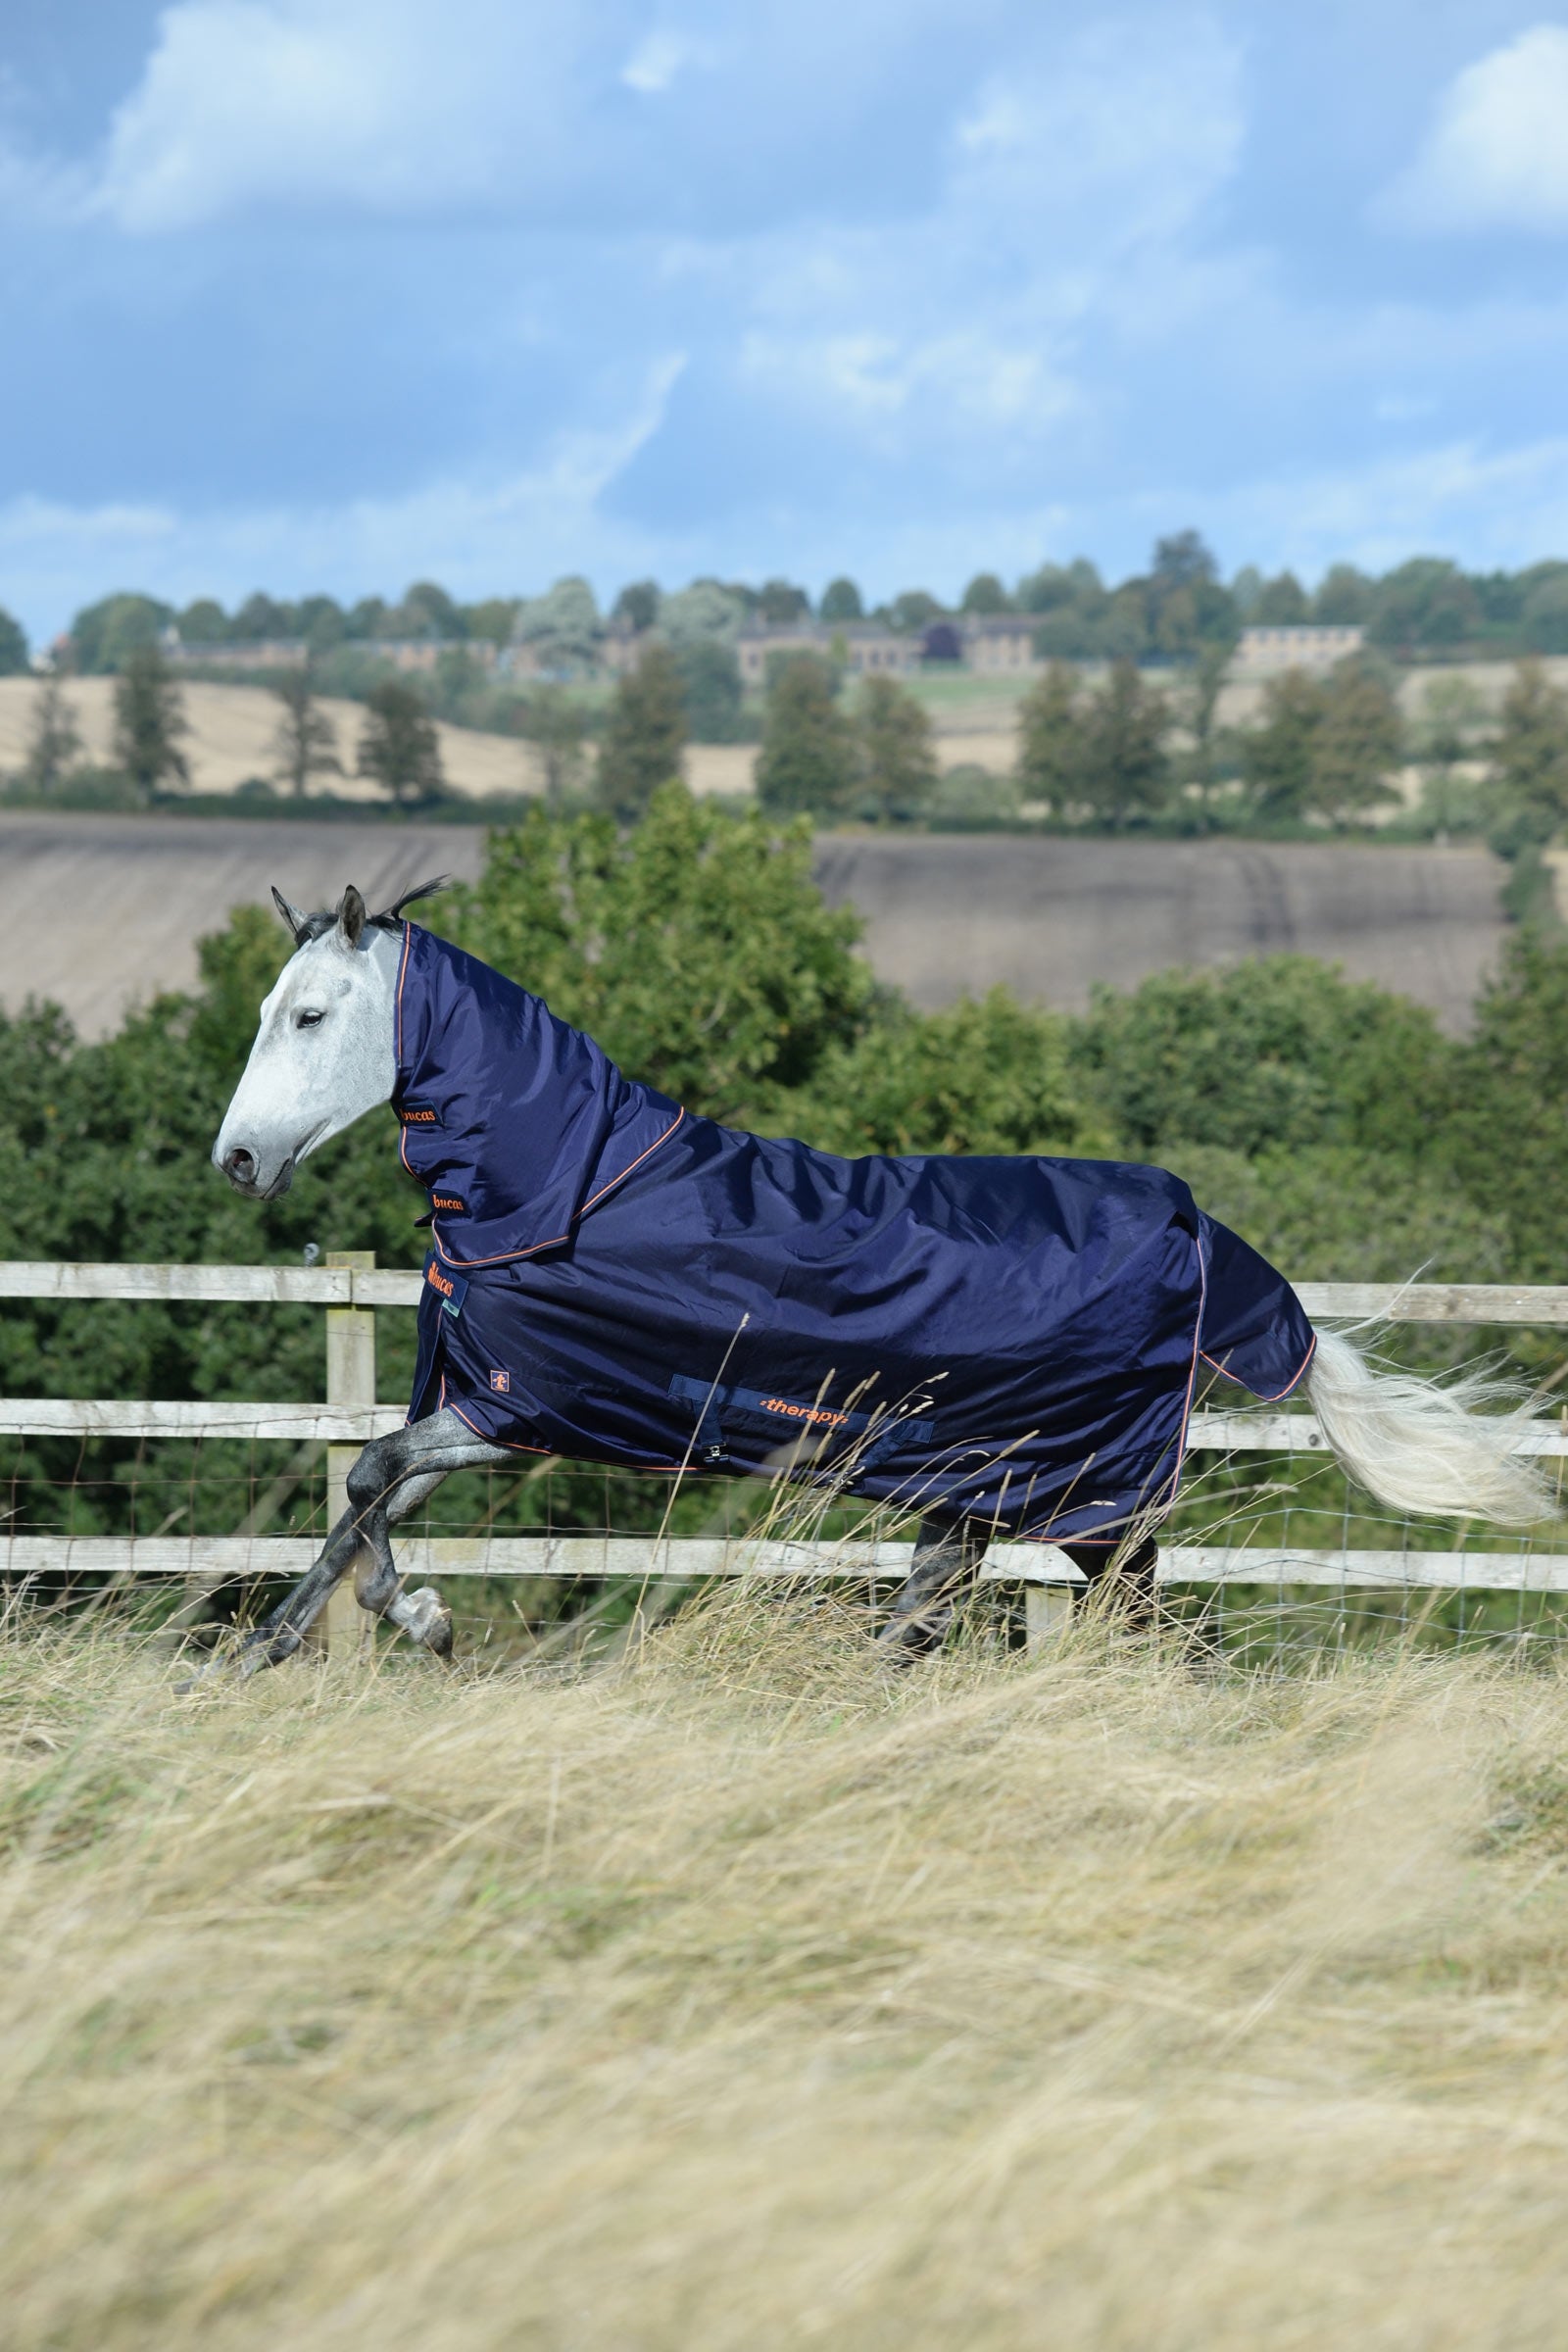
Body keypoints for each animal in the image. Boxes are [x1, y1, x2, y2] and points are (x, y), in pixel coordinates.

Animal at [208, 881, 1553, 1675]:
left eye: (312, 1015)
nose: (237, 1161)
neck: (563, 1189)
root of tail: (1200, 1227)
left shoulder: (529, 1408)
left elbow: (367, 1481)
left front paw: (403, 1626)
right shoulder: (488, 1405)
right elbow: (364, 1503)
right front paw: (279, 1648)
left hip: (1089, 1501)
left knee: (1165, 1628)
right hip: (986, 1493)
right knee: (938, 1618)